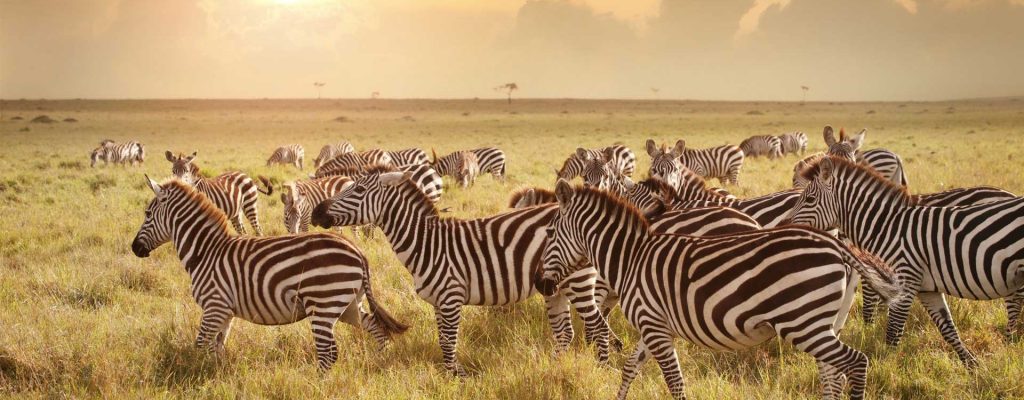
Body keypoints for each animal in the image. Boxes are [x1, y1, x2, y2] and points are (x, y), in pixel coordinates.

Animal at [131, 177, 407, 370]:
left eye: (147, 214)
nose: (134, 248)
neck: (206, 252)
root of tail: (358, 252)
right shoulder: (225, 311)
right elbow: (216, 348)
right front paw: (215, 374)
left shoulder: (214, 306)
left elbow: (199, 345)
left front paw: (195, 373)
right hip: (348, 304)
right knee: (376, 328)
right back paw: (379, 360)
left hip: (323, 304)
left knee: (328, 353)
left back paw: (317, 383)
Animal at [309, 167, 618, 373]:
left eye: (358, 190)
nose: (316, 212)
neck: (427, 243)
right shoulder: (438, 301)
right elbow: (443, 340)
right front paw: (449, 376)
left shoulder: (451, 296)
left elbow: (449, 343)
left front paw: (456, 377)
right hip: (556, 288)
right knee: (566, 332)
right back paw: (554, 368)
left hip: (578, 282)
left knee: (598, 327)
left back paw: (602, 368)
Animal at [537, 181, 901, 400]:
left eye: (550, 232)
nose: (541, 284)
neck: (631, 258)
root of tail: (836, 243)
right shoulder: (652, 325)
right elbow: (630, 368)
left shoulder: (654, 327)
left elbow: (675, 382)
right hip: (825, 323)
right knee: (832, 373)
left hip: (803, 322)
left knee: (856, 363)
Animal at [788, 157, 1024, 367]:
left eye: (809, 200)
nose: (786, 224)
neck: (887, 227)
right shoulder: (927, 289)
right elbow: (948, 329)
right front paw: (973, 366)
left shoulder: (904, 282)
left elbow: (893, 334)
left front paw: (885, 371)